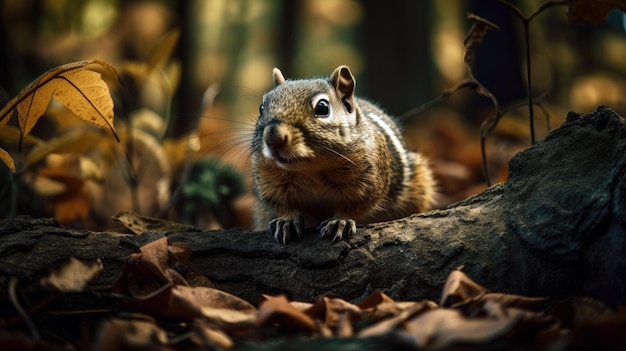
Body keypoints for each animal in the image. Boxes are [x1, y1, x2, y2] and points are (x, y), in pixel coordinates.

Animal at [250, 64, 434, 243]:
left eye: (322, 107)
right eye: (261, 108)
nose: (273, 138)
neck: (310, 171)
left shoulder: (369, 179)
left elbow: (358, 204)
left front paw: (341, 221)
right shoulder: (268, 178)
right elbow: (280, 203)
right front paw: (286, 220)